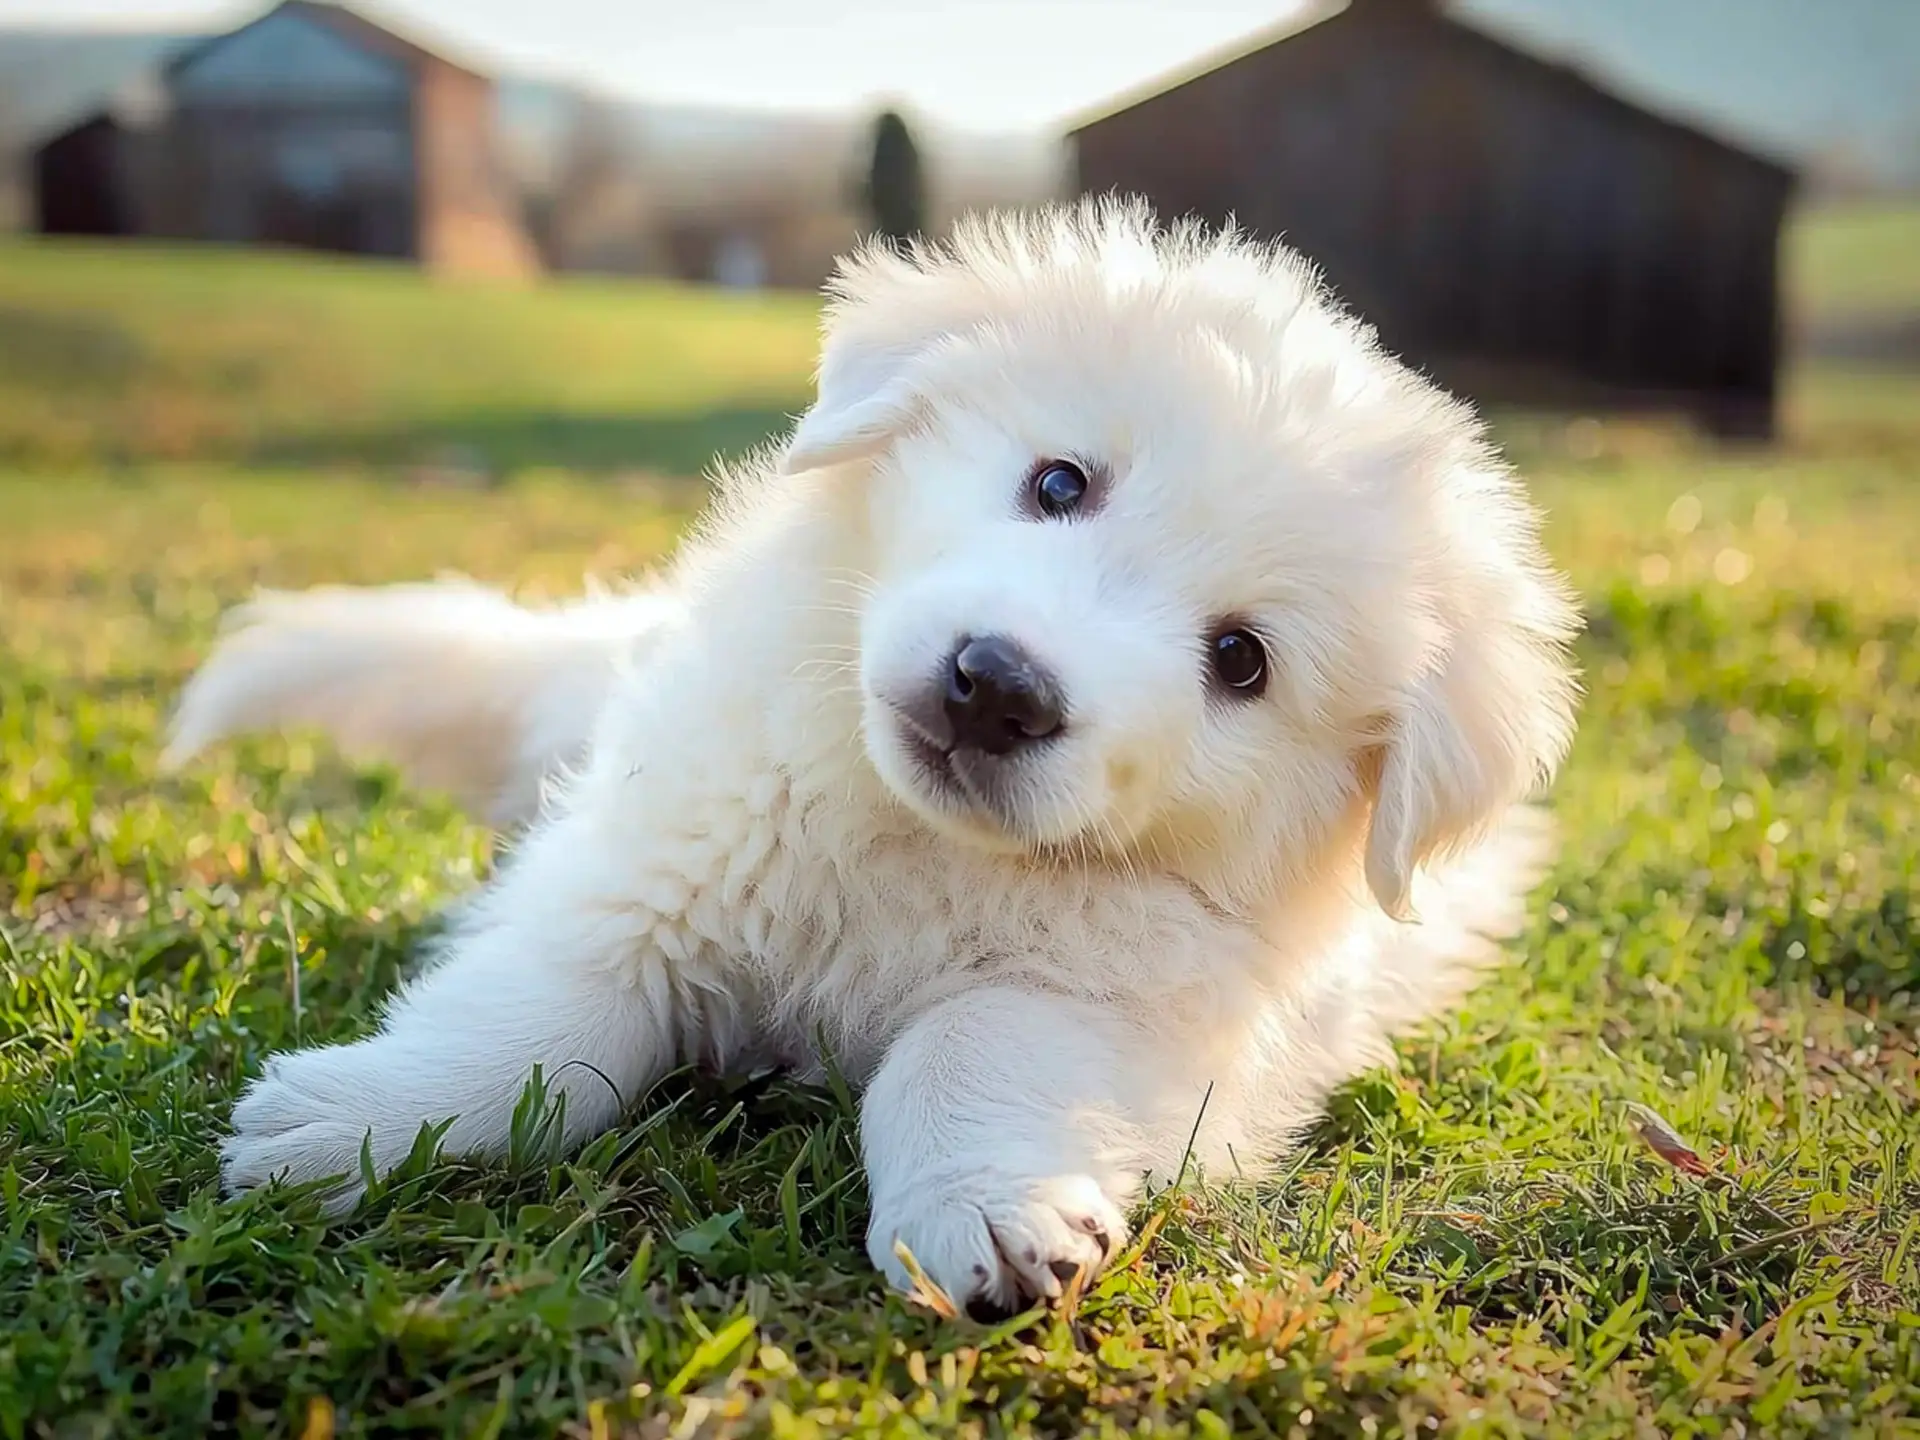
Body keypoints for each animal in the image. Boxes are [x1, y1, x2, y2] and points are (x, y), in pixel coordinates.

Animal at [165, 200, 1574, 1320]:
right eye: (1058, 484)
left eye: (1241, 661)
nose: (998, 689)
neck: (919, 845)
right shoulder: (650, 866)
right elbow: (544, 1012)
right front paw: (362, 1116)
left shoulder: (1138, 1005)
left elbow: (969, 1041)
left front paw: (987, 1210)